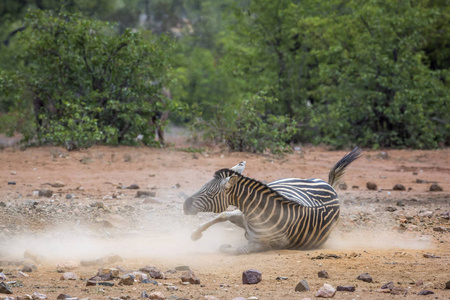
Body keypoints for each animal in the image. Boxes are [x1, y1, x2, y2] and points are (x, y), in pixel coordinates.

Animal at [183, 146, 362, 254]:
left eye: (211, 193)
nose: (185, 205)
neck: (256, 214)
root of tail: (331, 187)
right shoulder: (242, 215)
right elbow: (222, 215)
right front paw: (195, 234)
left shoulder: (264, 244)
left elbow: (236, 250)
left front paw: (225, 246)